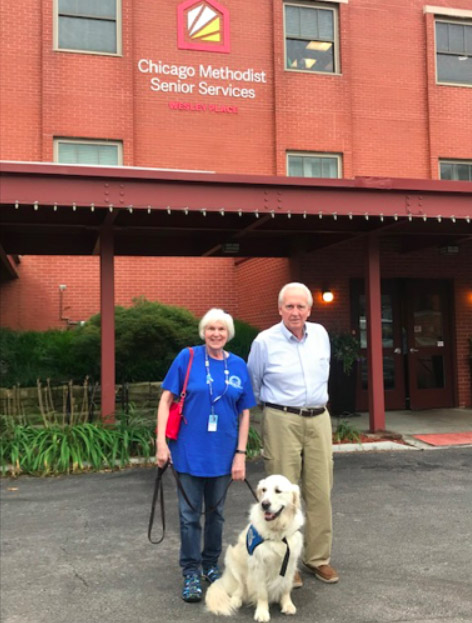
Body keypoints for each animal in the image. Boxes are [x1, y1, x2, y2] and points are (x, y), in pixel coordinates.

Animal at [206, 476, 302, 620]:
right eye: (263, 490)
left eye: (278, 491)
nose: (264, 504)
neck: (276, 532)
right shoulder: (258, 565)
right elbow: (262, 593)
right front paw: (262, 612)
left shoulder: (290, 563)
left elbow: (285, 587)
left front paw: (287, 604)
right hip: (233, 563)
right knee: (239, 589)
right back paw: (235, 600)